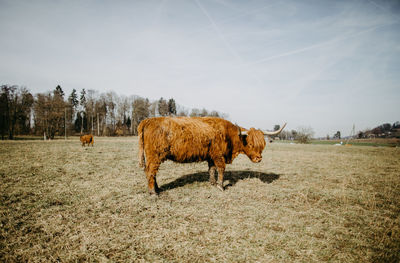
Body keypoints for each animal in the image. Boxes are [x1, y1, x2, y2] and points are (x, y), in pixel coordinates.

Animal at [139, 116, 286, 195]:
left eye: (263, 145)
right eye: (250, 144)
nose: (258, 158)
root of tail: (148, 120)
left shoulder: (211, 156)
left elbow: (211, 169)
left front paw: (212, 183)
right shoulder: (218, 155)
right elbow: (221, 169)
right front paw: (220, 186)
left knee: (151, 173)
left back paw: (157, 189)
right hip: (154, 156)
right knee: (150, 172)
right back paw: (153, 192)